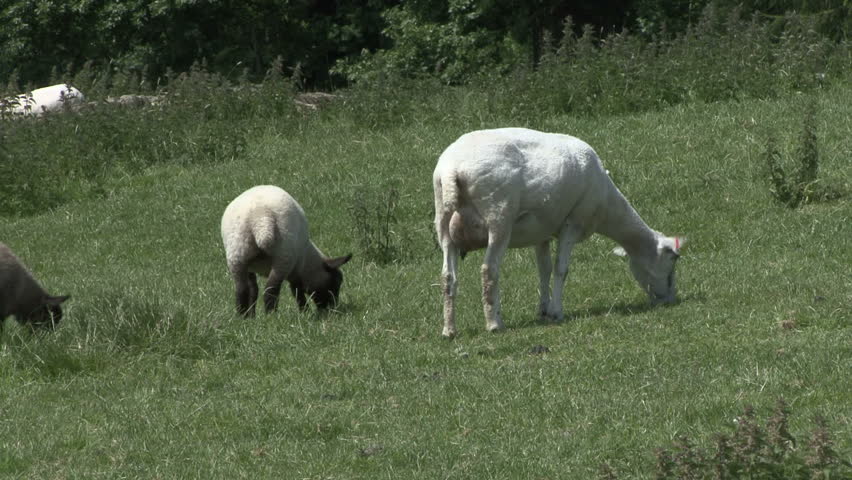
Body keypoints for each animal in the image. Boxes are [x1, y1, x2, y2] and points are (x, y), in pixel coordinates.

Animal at [221, 185, 352, 316]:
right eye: (336, 282)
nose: (332, 308)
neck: (307, 260)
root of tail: (261, 219)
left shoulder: (250, 268)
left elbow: (253, 290)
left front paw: (251, 316)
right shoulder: (295, 269)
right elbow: (297, 291)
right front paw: (304, 312)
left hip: (237, 256)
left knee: (241, 291)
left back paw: (242, 317)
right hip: (283, 256)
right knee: (270, 291)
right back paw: (271, 316)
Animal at [433, 128, 685, 337]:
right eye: (672, 264)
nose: (669, 300)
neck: (606, 206)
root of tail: (451, 169)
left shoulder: (540, 232)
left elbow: (543, 269)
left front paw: (543, 310)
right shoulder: (572, 224)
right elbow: (561, 269)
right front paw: (557, 312)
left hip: (443, 222)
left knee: (447, 276)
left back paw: (449, 330)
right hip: (498, 216)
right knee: (488, 270)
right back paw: (494, 324)